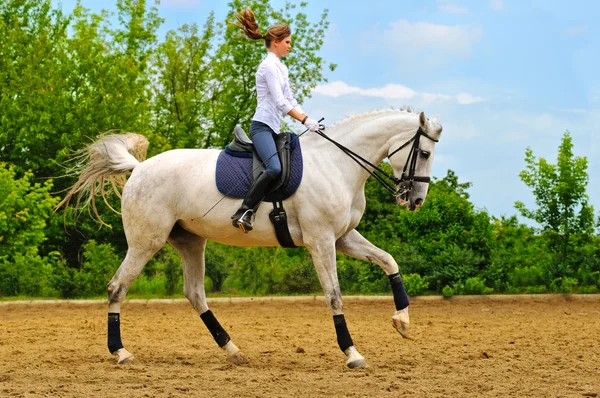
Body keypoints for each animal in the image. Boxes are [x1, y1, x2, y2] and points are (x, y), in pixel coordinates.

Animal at [59, 105, 440, 366]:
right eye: (423, 153)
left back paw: (232, 350)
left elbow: (389, 261)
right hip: (145, 243)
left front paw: (402, 321)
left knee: (195, 294)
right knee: (117, 288)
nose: (416, 200)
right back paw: (121, 352)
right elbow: (334, 296)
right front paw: (352, 353)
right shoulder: (321, 241)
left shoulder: (342, 238)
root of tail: (139, 169)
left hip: (190, 241)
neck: (337, 164)